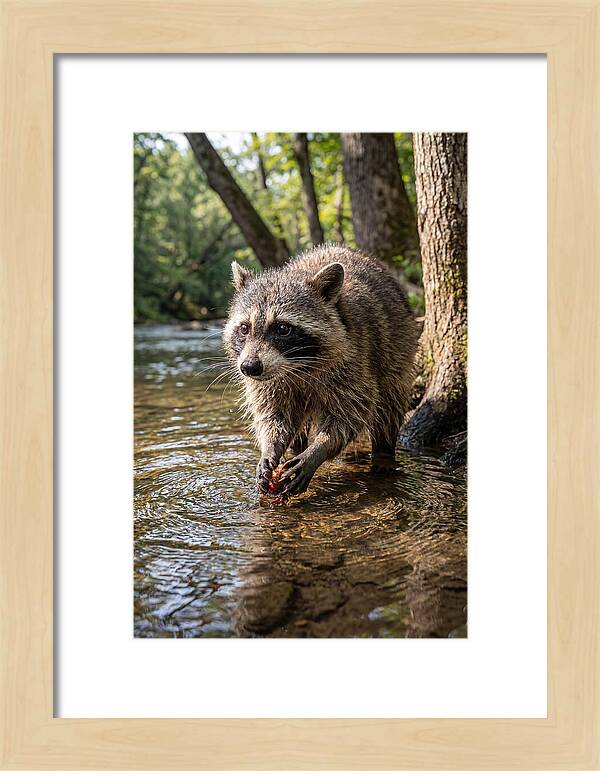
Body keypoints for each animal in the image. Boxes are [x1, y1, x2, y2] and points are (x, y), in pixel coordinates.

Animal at [223, 244, 419, 497]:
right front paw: (270, 447)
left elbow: (349, 415)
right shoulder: (269, 382)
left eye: (283, 328)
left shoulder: (354, 361)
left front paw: (319, 449)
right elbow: (274, 415)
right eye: (244, 328)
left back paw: (384, 453)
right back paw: (296, 448)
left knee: (389, 405)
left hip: (398, 347)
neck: (296, 366)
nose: (249, 368)